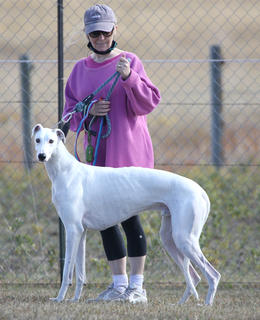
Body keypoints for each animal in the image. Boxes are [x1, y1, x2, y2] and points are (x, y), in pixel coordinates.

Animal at [31, 123, 220, 304]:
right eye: (37, 140)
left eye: (51, 141)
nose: (41, 156)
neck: (66, 171)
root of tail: (200, 191)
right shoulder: (81, 232)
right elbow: (80, 274)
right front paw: (74, 300)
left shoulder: (72, 230)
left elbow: (66, 273)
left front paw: (59, 299)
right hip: (170, 239)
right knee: (194, 277)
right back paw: (181, 303)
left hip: (184, 239)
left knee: (213, 275)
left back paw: (207, 304)